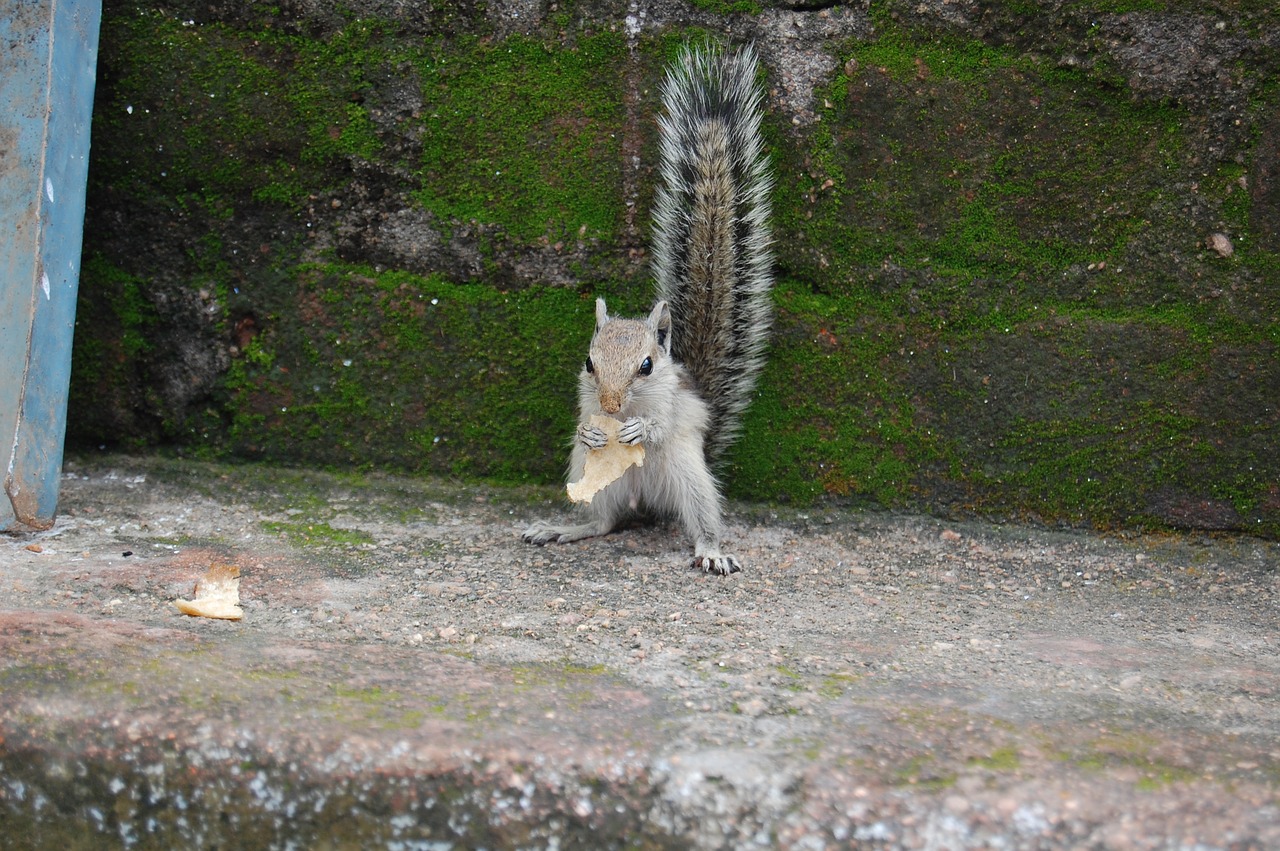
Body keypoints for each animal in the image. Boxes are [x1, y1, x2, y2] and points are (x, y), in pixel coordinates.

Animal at [519, 38, 768, 570]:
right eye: (588, 363)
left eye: (648, 365)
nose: (611, 406)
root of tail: (646, 503)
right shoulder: (584, 399)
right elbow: (582, 421)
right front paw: (594, 432)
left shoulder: (673, 406)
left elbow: (660, 425)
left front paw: (640, 432)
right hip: (590, 478)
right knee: (603, 521)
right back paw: (563, 529)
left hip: (690, 477)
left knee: (699, 519)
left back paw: (711, 552)